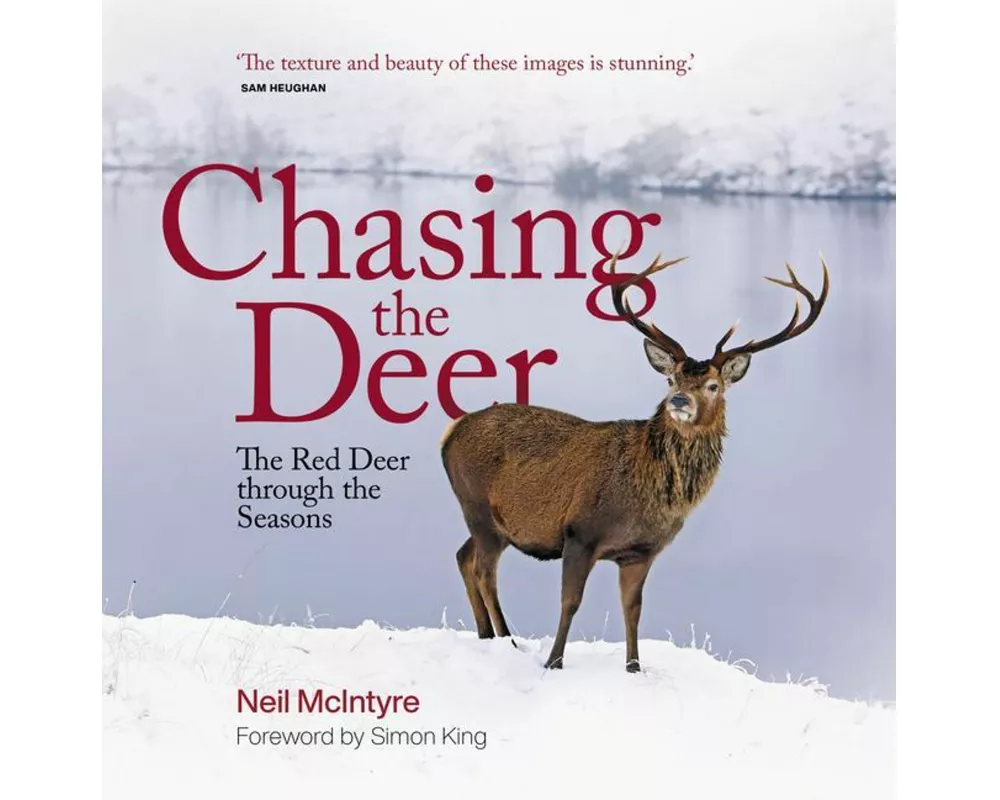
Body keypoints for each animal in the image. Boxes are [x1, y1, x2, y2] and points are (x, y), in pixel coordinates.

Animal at [440, 252, 829, 672]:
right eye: (672, 379)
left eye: (713, 386)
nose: (679, 401)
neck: (646, 496)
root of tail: (449, 433)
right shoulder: (580, 531)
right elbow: (570, 602)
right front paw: (554, 662)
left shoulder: (642, 552)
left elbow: (633, 610)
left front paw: (634, 667)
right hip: (478, 506)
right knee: (484, 570)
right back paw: (507, 640)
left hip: (493, 522)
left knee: (463, 556)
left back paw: (488, 635)